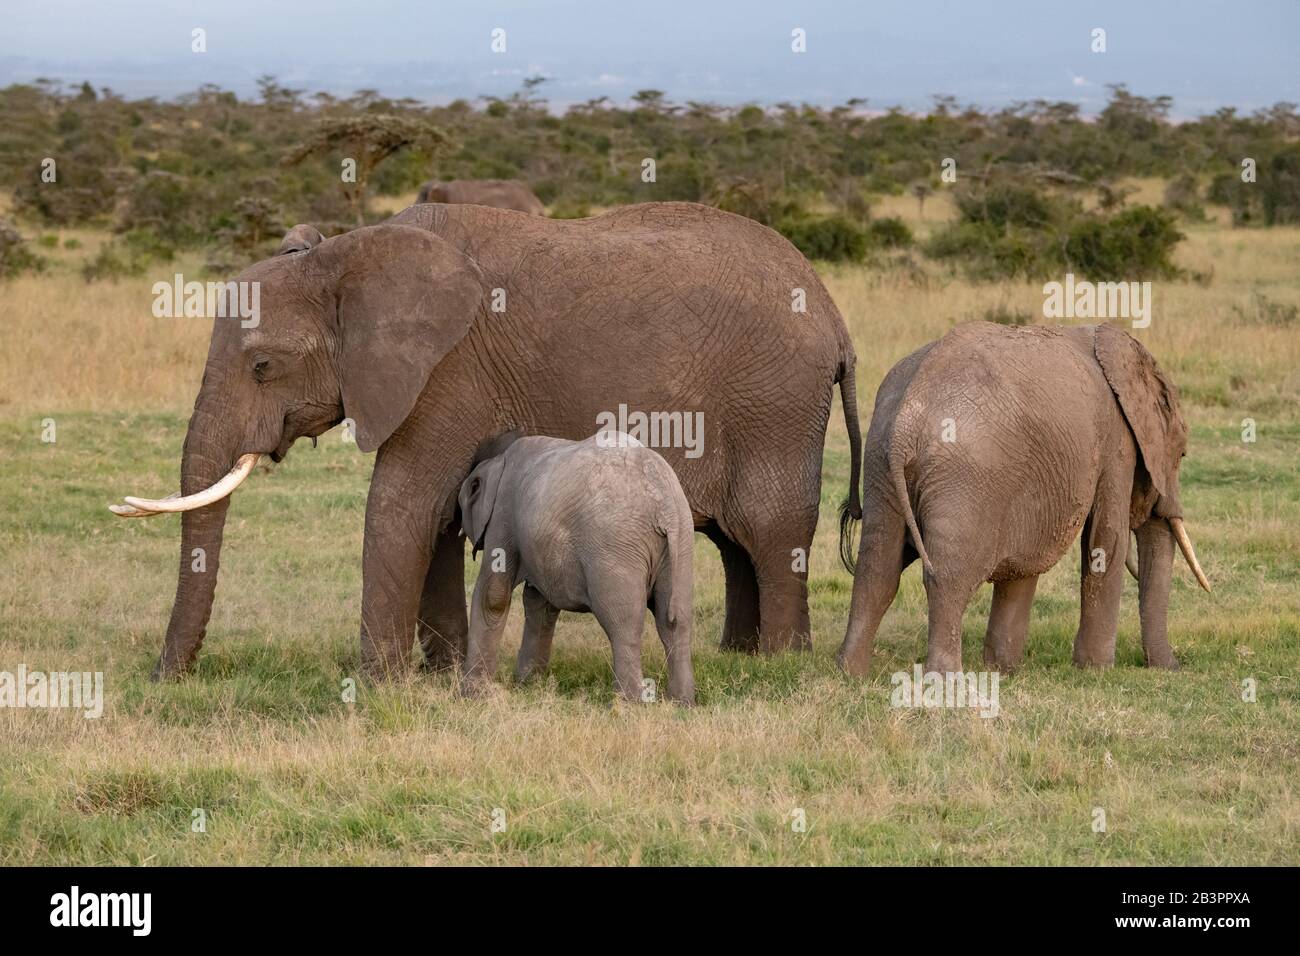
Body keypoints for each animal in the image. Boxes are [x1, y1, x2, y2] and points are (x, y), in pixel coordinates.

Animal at [460, 434, 696, 702]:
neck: (499, 460)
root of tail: (665, 503)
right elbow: (539, 603)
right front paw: (528, 685)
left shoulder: (503, 515)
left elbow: (494, 595)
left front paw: (472, 695)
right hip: (681, 545)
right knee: (676, 622)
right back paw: (682, 701)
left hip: (616, 550)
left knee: (623, 624)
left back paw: (627, 702)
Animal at [837, 323, 1211, 681]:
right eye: (1181, 454)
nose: (1172, 668)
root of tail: (907, 419)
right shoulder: (1116, 442)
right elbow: (1106, 539)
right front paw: (1096, 670)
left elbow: (1024, 557)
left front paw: (1003, 669)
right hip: (965, 479)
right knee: (949, 576)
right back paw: (945, 680)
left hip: (881, 464)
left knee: (877, 569)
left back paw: (852, 672)